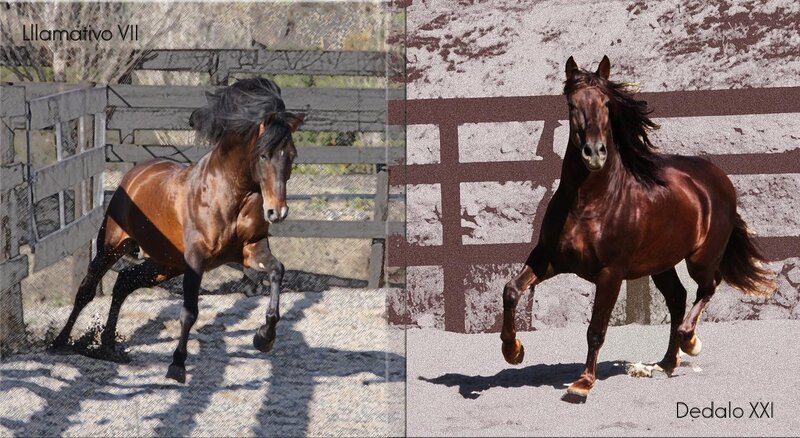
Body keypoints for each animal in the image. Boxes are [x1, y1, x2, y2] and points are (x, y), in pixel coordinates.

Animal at [51, 77, 305, 383]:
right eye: (264, 155)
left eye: (291, 155)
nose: (277, 212)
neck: (230, 195)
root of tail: (134, 175)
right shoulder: (196, 260)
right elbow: (189, 312)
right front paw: (177, 365)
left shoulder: (251, 249)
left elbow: (277, 271)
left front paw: (264, 337)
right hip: (113, 247)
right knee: (87, 290)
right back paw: (60, 342)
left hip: (166, 263)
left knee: (124, 281)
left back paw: (109, 347)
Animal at [500, 56, 776, 402]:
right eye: (572, 105)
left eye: (606, 103)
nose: (594, 153)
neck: (588, 203)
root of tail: (719, 178)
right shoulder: (549, 258)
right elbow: (511, 290)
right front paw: (513, 351)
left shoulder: (611, 272)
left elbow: (596, 329)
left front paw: (582, 384)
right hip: (660, 262)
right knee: (678, 297)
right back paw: (667, 362)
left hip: (700, 258)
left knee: (708, 286)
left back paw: (690, 341)